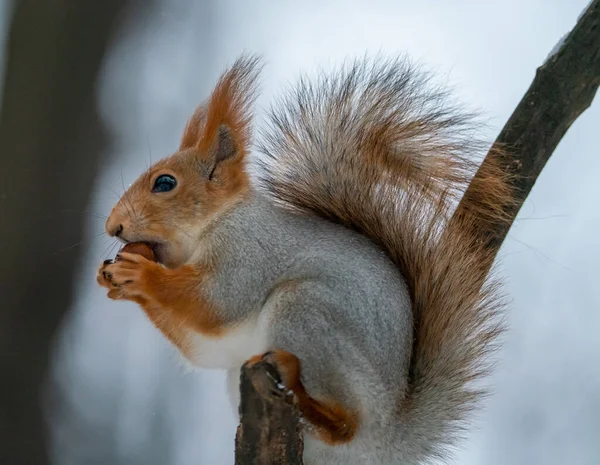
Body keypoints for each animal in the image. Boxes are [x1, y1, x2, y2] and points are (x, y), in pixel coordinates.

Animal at [97, 55, 510, 464]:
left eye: (165, 183)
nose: (112, 226)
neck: (214, 225)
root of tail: (388, 440)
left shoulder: (249, 254)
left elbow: (215, 302)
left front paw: (140, 274)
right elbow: (202, 347)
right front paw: (114, 282)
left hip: (306, 314)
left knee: (346, 426)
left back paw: (307, 398)